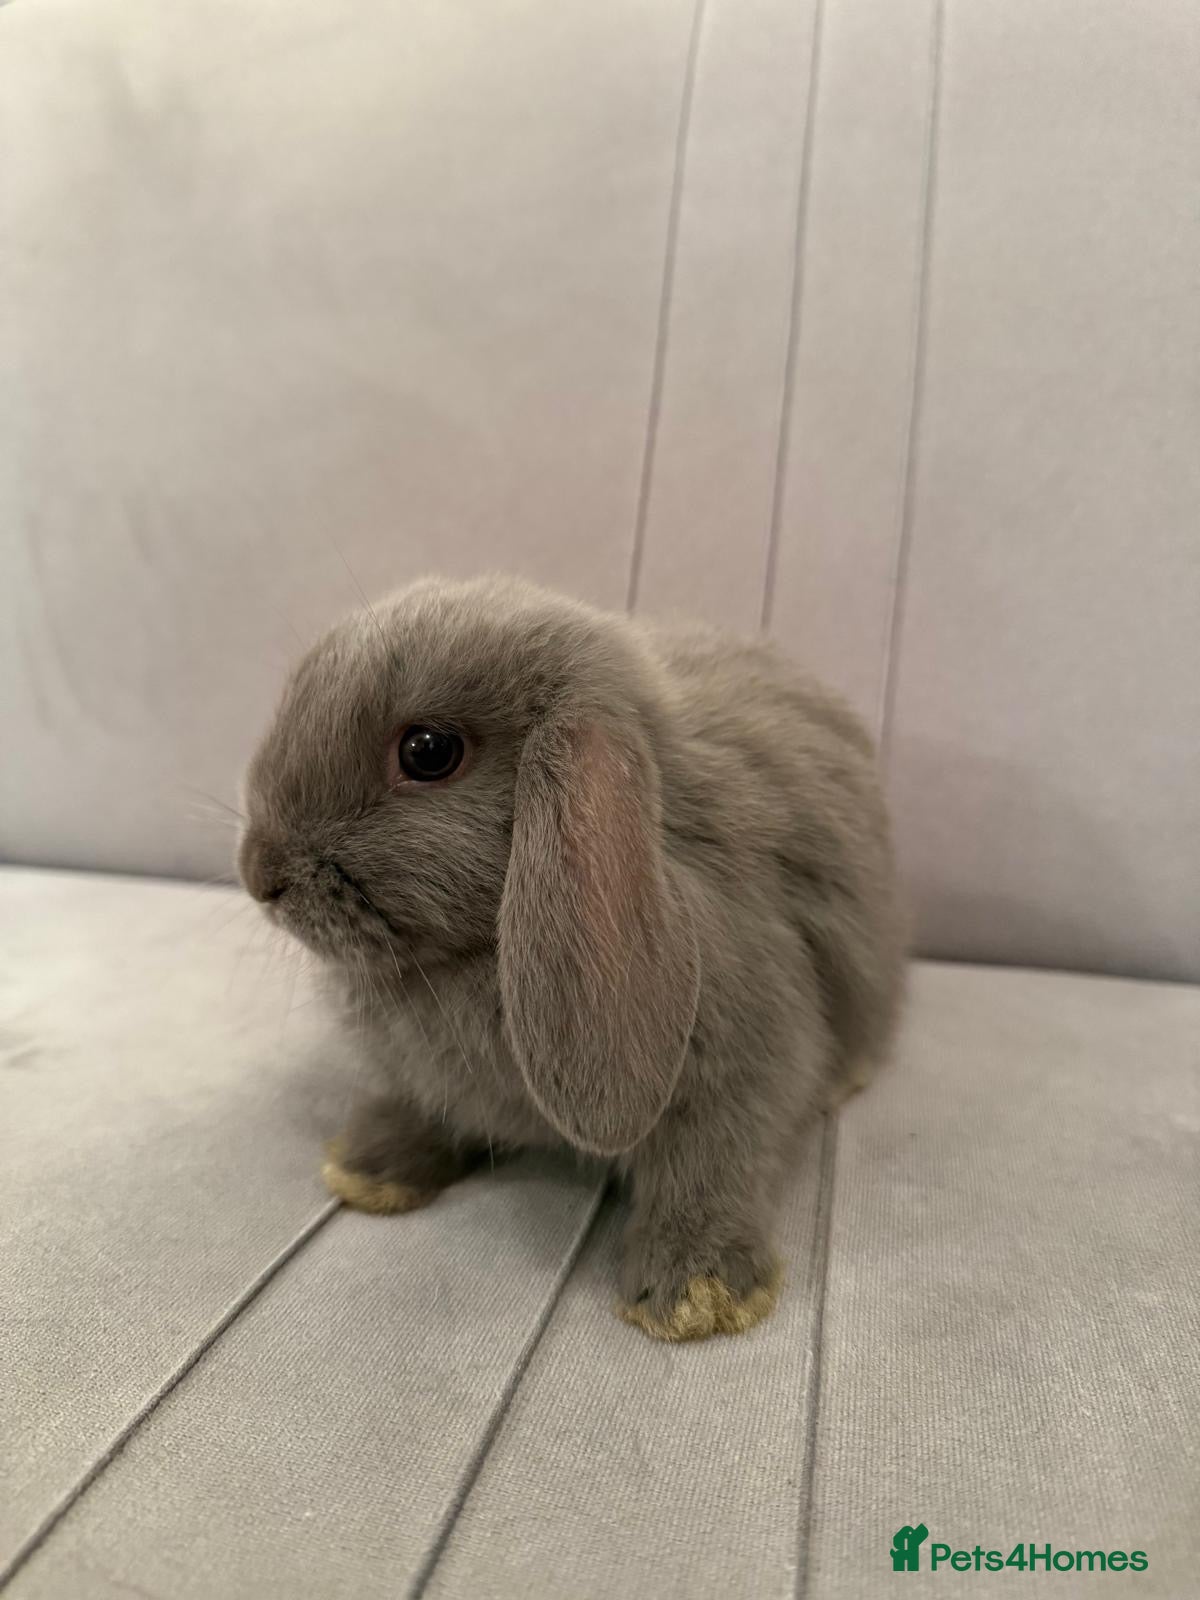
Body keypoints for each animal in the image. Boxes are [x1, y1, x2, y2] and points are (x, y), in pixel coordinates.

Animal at [238, 575, 906, 1341]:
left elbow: (713, 1163)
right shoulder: (432, 1082)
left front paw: (695, 1294)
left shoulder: (749, 1059)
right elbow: (428, 1110)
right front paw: (370, 1167)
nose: (258, 874)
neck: (474, 958)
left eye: (428, 751)